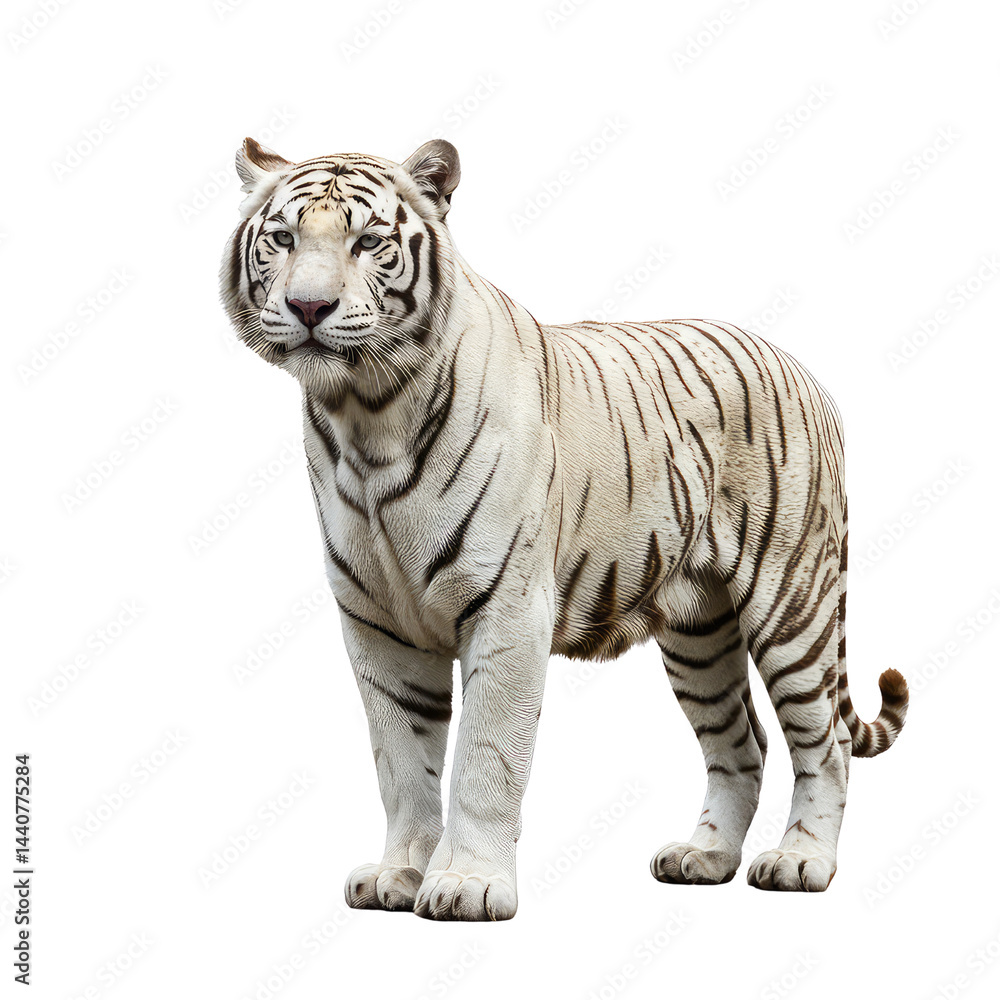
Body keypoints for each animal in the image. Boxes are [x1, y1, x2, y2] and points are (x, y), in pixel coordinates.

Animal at [220, 136, 908, 921]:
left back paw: (800, 862)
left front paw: (466, 885)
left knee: (825, 743)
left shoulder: (508, 610)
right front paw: (400, 874)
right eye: (283, 238)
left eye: (369, 242)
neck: (365, 414)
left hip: (793, 602)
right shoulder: (378, 624)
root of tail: (801, 368)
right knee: (743, 745)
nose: (309, 306)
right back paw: (702, 857)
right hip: (699, 632)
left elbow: (485, 760)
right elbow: (402, 761)